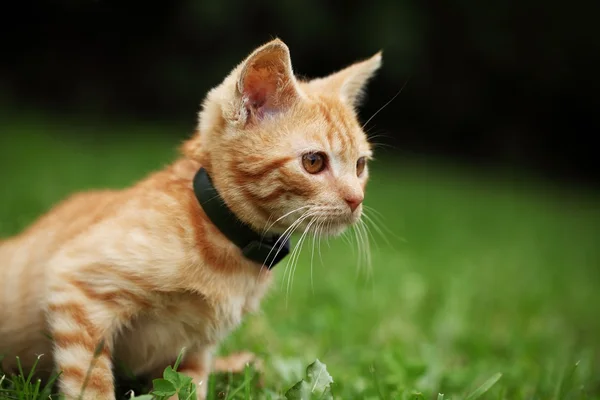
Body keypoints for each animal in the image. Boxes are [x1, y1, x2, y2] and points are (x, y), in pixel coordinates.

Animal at [0, 38, 382, 400]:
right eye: (314, 162)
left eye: (360, 165)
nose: (356, 199)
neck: (226, 244)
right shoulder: (75, 285)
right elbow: (90, 383)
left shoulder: (195, 351)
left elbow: (187, 388)